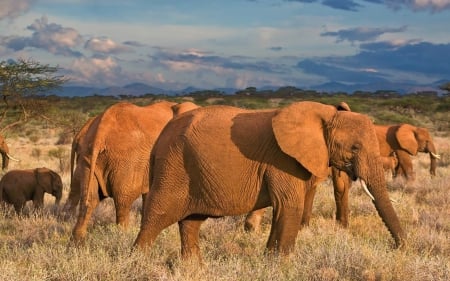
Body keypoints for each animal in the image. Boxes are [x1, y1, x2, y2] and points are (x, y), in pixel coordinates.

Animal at [71, 100, 199, 241]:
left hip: (87, 159)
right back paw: (123, 236)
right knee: (123, 201)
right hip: (126, 160)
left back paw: (77, 242)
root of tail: (101, 131)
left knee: (89, 199)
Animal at [134, 100, 408, 260]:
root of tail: (160, 139)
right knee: (157, 217)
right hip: (173, 167)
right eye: (355, 147)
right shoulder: (282, 159)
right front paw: (282, 265)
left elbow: (283, 209)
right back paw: (138, 261)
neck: (326, 115)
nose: (399, 249)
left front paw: (269, 260)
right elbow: (290, 206)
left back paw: (193, 268)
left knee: (191, 223)